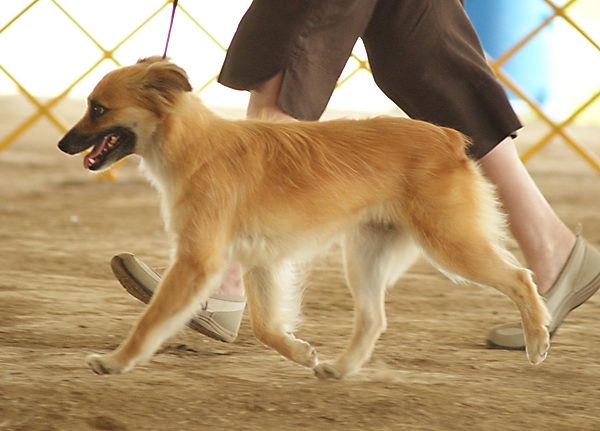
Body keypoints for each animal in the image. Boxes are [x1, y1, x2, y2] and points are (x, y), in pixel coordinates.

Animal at [58, 56, 552, 378]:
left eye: (98, 108)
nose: (63, 144)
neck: (193, 144)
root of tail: (448, 138)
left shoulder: (197, 261)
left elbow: (151, 321)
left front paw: (116, 362)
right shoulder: (258, 260)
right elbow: (265, 326)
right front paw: (299, 353)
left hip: (451, 245)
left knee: (520, 278)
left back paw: (537, 339)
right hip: (366, 256)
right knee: (374, 320)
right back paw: (339, 369)